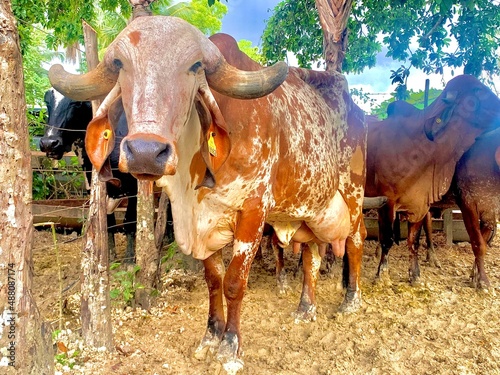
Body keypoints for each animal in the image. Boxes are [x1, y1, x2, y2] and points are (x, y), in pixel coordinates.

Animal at [40, 89, 138, 262]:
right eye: (47, 101)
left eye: (77, 103)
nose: (48, 143)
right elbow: (107, 222)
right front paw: (109, 256)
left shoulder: (133, 186)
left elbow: (130, 221)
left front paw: (129, 259)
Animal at [366, 78, 500, 286]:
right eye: (477, 93)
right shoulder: (387, 202)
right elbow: (387, 239)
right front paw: (382, 275)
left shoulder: (420, 205)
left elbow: (413, 241)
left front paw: (415, 275)